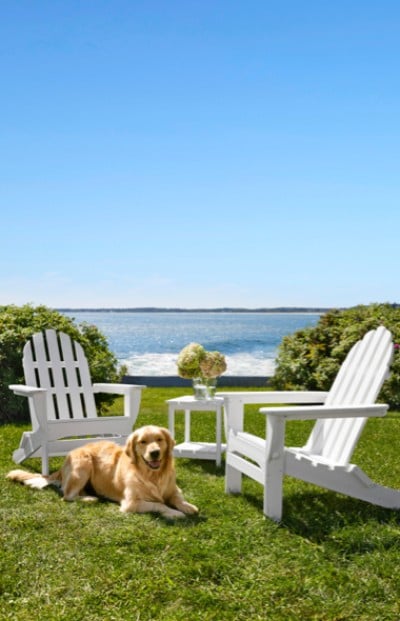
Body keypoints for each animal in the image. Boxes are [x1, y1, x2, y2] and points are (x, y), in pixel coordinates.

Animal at [6, 424, 198, 516]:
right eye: (142, 442)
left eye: (159, 439)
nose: (155, 452)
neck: (153, 475)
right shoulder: (131, 503)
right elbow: (159, 504)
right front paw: (174, 513)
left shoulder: (173, 489)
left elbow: (178, 498)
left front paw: (188, 506)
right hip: (83, 464)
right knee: (67, 496)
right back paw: (90, 499)